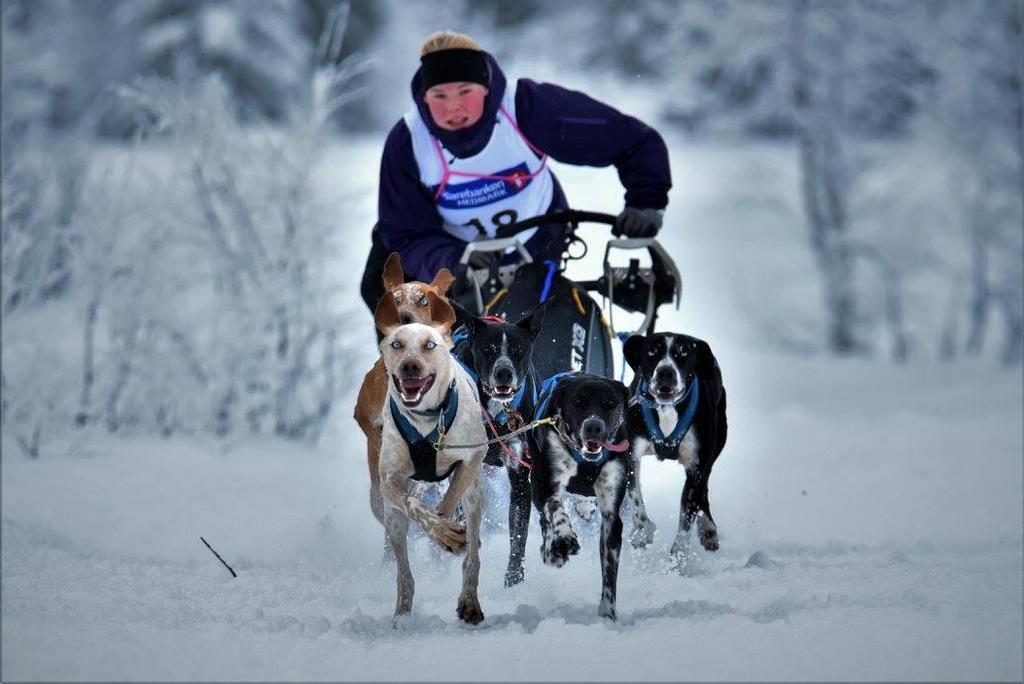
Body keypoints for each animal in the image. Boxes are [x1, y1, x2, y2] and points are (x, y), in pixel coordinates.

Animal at [376, 321, 487, 626]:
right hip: (393, 520)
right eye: (397, 344)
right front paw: (441, 532)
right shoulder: (389, 480)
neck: (427, 418)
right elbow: (415, 506)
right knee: (404, 573)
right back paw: (402, 615)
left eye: (429, 345)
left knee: (472, 556)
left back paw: (469, 600)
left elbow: (447, 503)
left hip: (474, 495)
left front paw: (446, 531)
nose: (410, 366)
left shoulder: (474, 456)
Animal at [450, 305, 544, 589]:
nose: (504, 372)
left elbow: (518, 536)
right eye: (488, 349)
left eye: (518, 349)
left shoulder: (520, 476)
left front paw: (513, 580)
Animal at [528, 370, 630, 622]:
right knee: (545, 521)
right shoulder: (545, 487)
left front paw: (607, 612)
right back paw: (552, 550)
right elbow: (556, 509)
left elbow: (610, 571)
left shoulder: (612, 516)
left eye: (610, 403)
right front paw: (564, 537)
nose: (594, 427)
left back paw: (585, 507)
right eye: (578, 402)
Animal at [622, 333, 729, 557]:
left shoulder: (696, 467)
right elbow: (636, 498)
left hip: (713, 449)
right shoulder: (630, 454)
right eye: (652, 351)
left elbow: (687, 517)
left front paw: (678, 556)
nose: (665, 372)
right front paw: (642, 532)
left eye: (683, 352)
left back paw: (708, 528)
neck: (666, 409)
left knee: (704, 490)